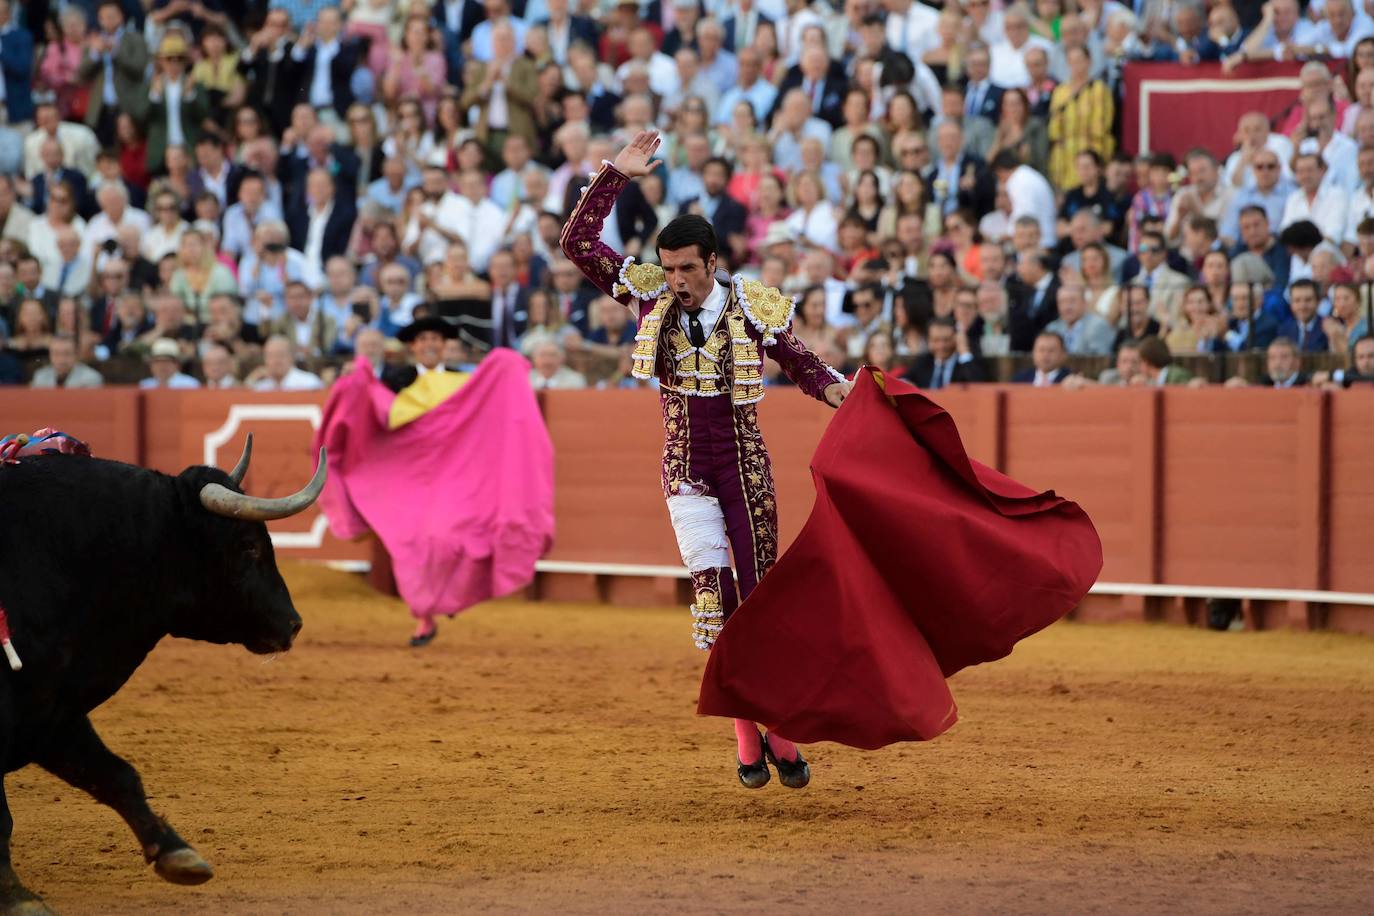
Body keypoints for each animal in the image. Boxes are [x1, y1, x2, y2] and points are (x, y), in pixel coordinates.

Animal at [0, 439, 324, 916]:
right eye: (247, 545)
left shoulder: (50, 706)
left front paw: (178, 855)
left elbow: (115, 775)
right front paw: (17, 895)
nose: (294, 623)